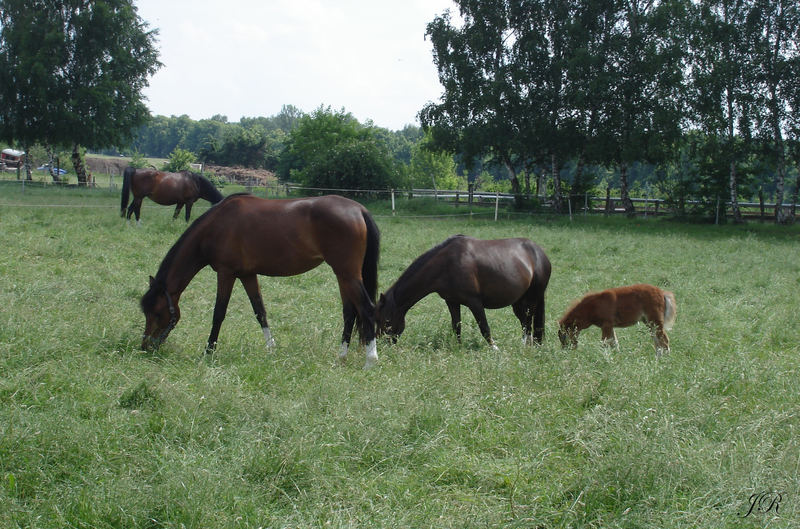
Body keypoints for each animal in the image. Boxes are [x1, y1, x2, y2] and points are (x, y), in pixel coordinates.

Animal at [138, 193, 382, 368]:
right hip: (343, 275)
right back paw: (341, 357)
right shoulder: (247, 275)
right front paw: (271, 349)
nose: (145, 347)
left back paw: (370, 361)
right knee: (349, 313)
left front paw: (208, 352)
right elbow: (260, 311)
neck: (217, 225)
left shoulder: (226, 273)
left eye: (157, 313)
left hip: (347, 273)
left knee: (367, 309)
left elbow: (219, 313)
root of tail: (359, 210)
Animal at [376, 235, 552, 346]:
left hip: (532, 299)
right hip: (518, 302)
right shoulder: (452, 302)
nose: (381, 343)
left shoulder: (474, 302)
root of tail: (539, 252)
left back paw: (524, 346)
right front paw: (458, 348)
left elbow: (484, 328)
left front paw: (495, 349)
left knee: (528, 322)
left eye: (386, 320)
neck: (446, 264)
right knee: (524, 322)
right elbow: (456, 326)